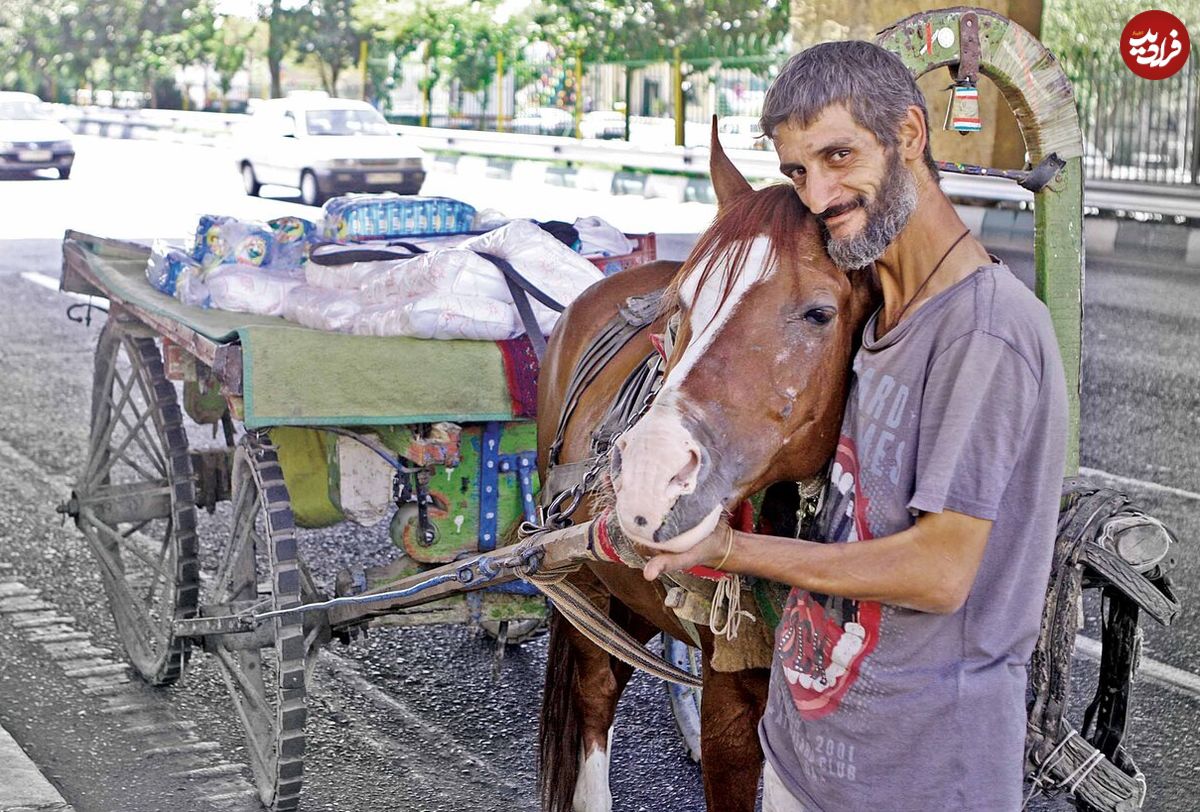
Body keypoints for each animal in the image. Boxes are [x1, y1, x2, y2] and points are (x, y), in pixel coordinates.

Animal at [540, 130, 878, 806]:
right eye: (683, 306)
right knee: (595, 693)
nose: (647, 473)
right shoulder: (734, 713)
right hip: (582, 578)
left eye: (820, 314)